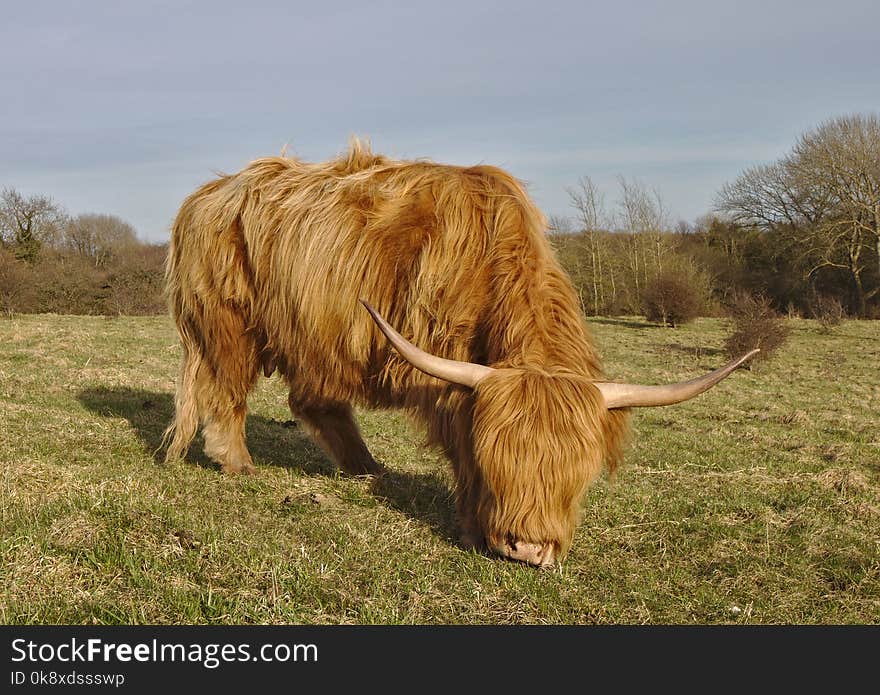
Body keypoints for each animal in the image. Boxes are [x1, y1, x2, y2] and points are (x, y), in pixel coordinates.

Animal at [165, 140, 756, 564]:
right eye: (499, 464)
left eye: (577, 476)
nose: (528, 548)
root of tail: (211, 191)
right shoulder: (446, 365)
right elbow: (461, 444)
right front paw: (473, 528)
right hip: (228, 321)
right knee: (226, 387)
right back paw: (239, 463)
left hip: (316, 332)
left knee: (313, 400)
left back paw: (366, 469)